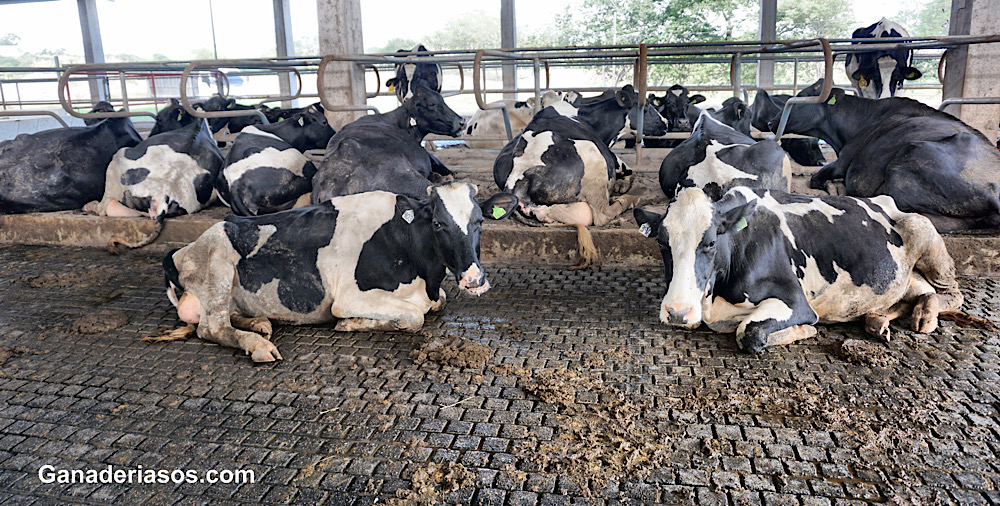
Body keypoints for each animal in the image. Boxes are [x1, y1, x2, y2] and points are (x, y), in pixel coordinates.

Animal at [160, 184, 520, 362]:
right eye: (438, 223)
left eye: (480, 221)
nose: (474, 280)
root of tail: (183, 249)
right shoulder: (348, 298)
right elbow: (414, 316)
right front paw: (352, 324)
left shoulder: (434, 292)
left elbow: (436, 302)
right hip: (219, 263)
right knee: (212, 327)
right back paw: (257, 344)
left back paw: (260, 323)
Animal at [636, 185, 964, 352]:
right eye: (662, 242)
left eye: (711, 242)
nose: (677, 312)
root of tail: (885, 199)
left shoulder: (797, 302)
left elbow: (749, 333)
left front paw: (803, 329)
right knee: (913, 294)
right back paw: (877, 319)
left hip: (923, 229)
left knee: (951, 294)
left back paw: (925, 317)